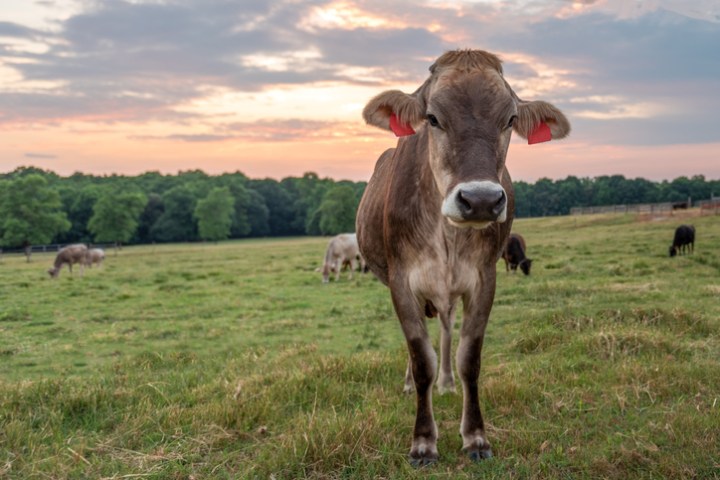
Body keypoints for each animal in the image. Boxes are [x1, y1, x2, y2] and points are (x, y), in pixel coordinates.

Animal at [358, 48, 572, 464]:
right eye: (432, 118)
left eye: (509, 120)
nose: (481, 200)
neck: (448, 238)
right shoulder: (401, 282)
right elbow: (419, 358)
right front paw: (423, 441)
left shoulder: (483, 278)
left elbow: (468, 357)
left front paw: (475, 437)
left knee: (445, 329)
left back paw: (446, 383)